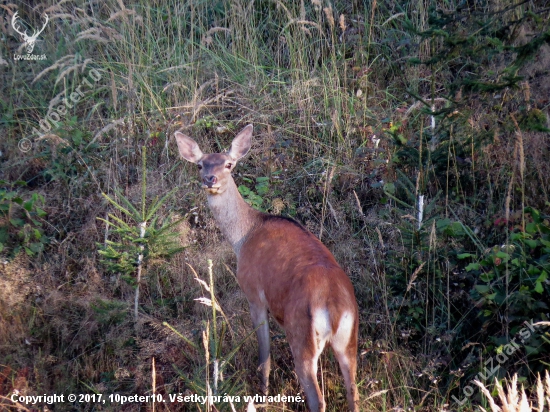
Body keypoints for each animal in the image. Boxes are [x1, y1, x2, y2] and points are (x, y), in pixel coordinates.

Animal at [175, 125, 360, 412]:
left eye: (229, 164)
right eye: (200, 164)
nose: (210, 179)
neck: (244, 235)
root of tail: (334, 306)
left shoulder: (254, 293)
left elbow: (264, 356)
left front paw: (262, 394)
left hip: (301, 334)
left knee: (317, 398)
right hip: (349, 340)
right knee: (354, 392)